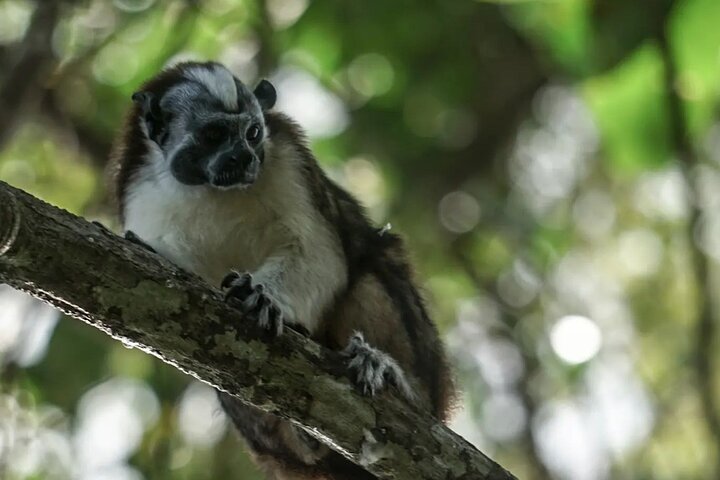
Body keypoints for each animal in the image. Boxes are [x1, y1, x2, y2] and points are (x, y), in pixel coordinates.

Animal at [110, 61, 454, 480]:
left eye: (252, 133)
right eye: (214, 135)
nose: (243, 158)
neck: (214, 191)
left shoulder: (290, 161)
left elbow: (318, 254)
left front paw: (262, 297)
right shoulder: (139, 194)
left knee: (371, 272)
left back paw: (396, 379)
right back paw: (304, 439)